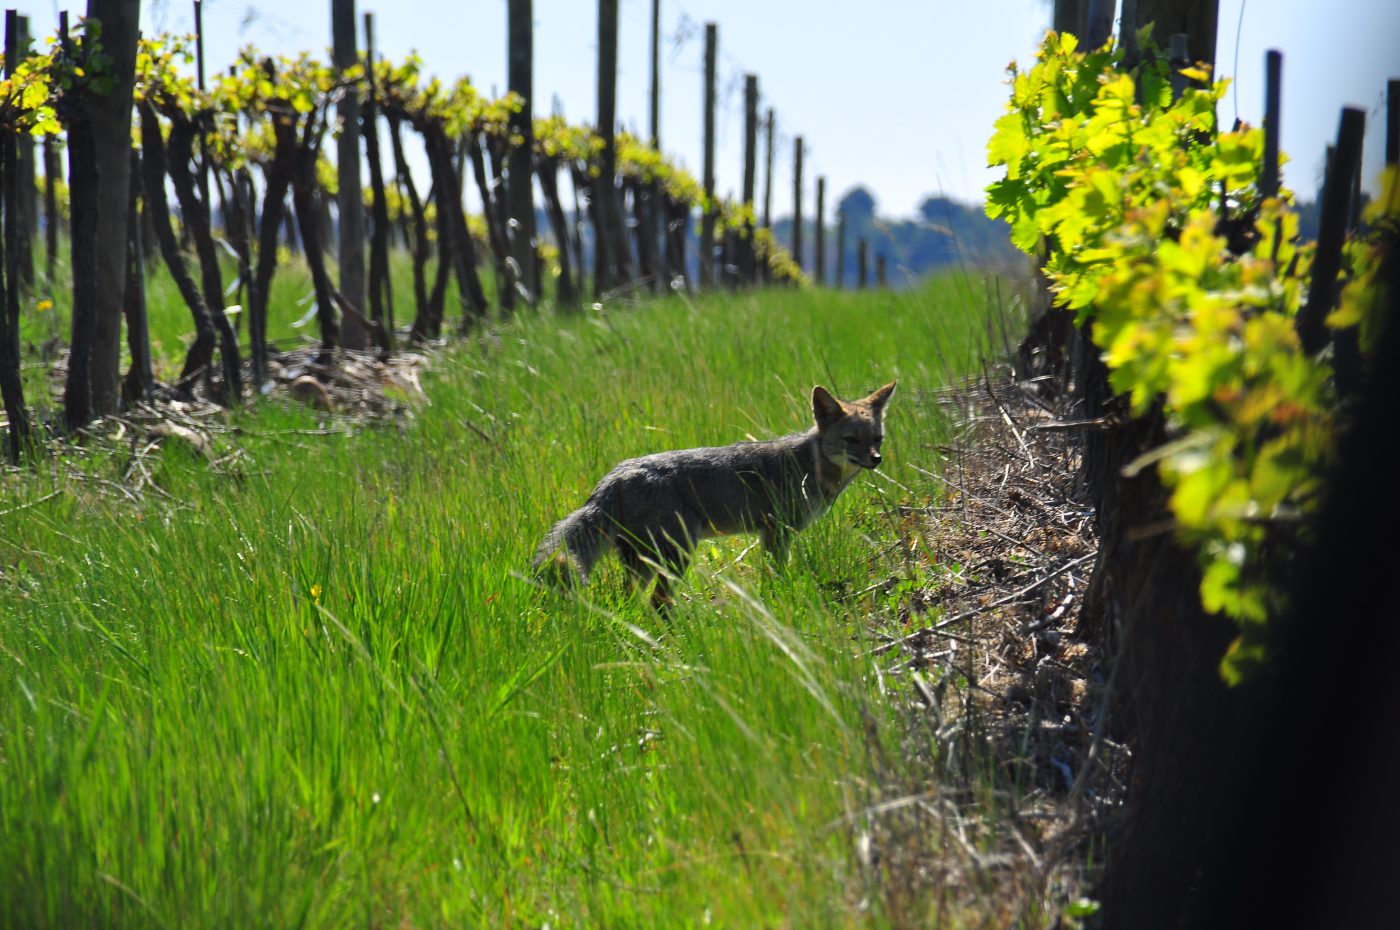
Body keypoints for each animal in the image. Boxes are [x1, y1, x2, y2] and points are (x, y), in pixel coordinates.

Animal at [533, 380, 897, 610]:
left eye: (877, 438)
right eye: (851, 440)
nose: (876, 460)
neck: (809, 463)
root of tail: (611, 479)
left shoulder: (770, 534)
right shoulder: (776, 532)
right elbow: (776, 575)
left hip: (644, 564)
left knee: (629, 598)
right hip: (676, 556)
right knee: (657, 602)